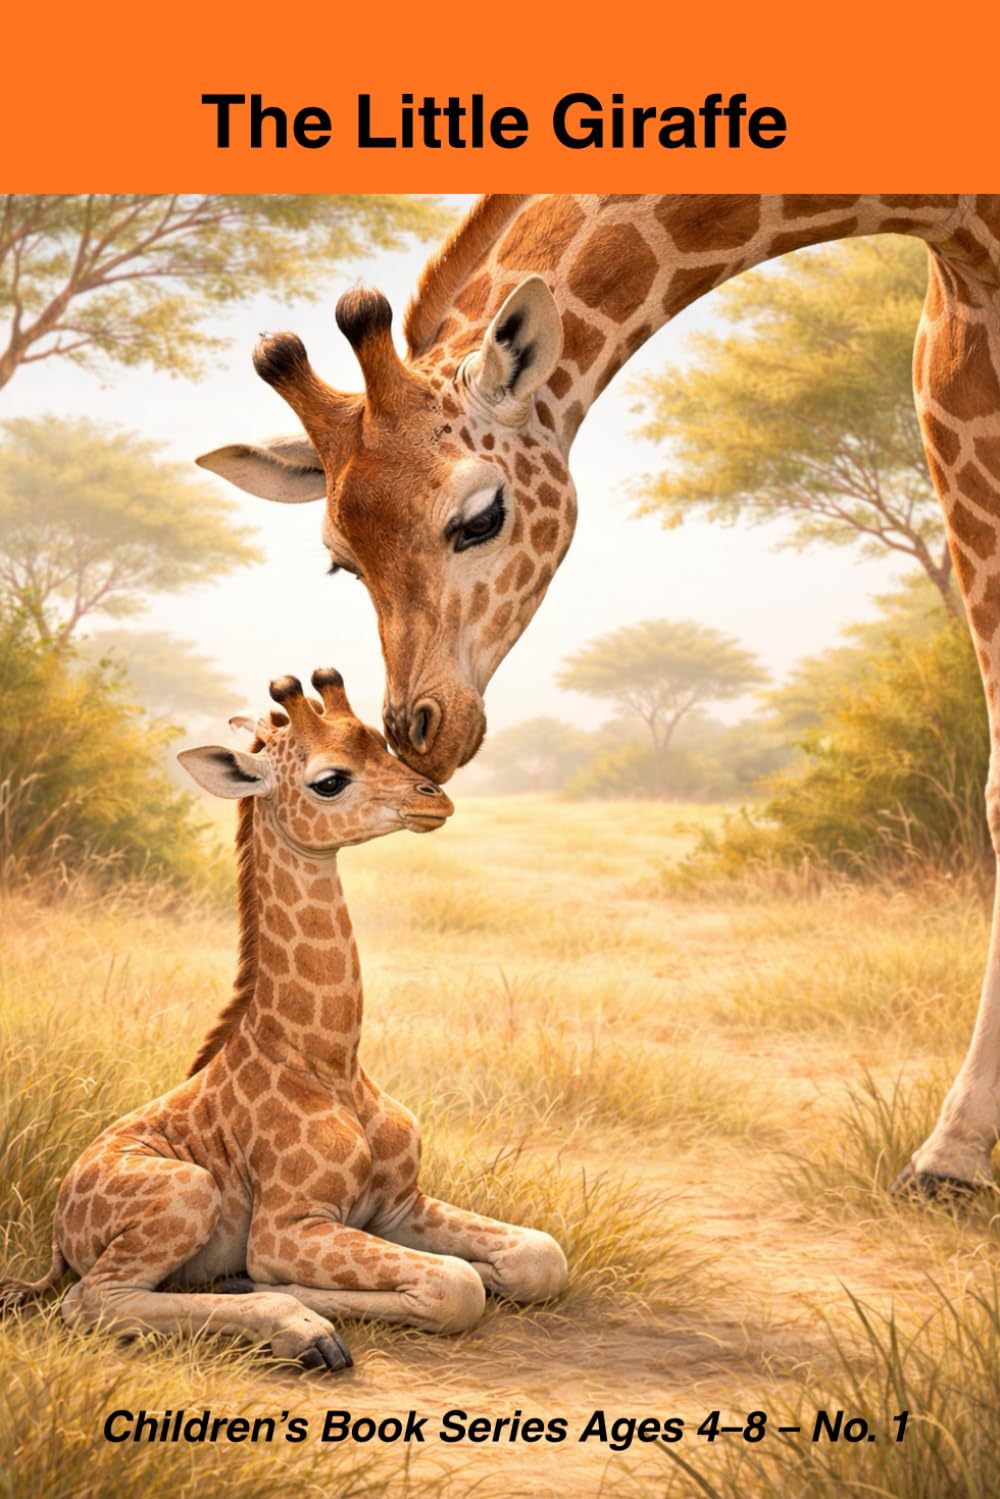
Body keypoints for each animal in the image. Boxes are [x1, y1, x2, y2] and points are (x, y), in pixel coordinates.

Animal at [0, 669, 567, 1367]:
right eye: (329, 780)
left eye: (384, 743)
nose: (434, 799)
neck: (331, 1060)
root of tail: (57, 1227)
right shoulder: (288, 1225)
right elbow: (453, 1284)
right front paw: (282, 1294)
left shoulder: (398, 1203)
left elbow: (539, 1255)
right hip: (187, 1192)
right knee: (93, 1301)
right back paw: (302, 1332)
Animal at [198, 194, 1000, 1197]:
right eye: (341, 560)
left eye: (482, 516)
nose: (421, 733)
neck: (951, 220)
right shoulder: (955, 371)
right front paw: (954, 1158)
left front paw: (953, 1155)